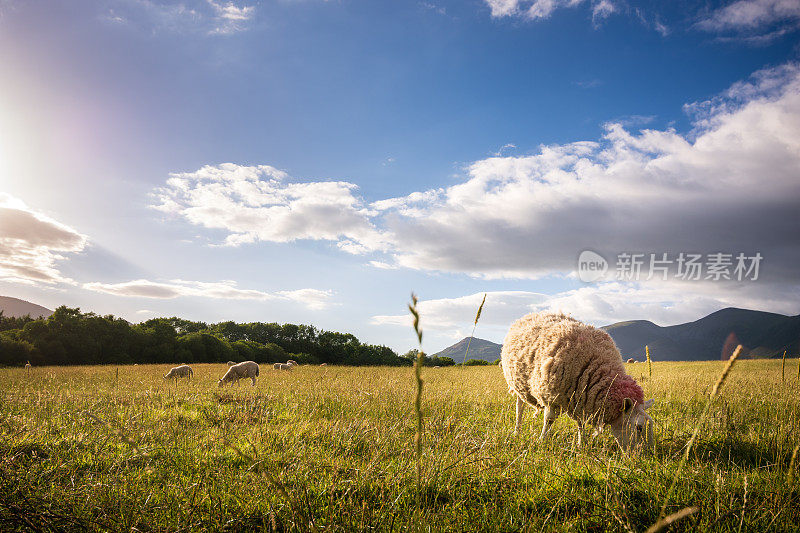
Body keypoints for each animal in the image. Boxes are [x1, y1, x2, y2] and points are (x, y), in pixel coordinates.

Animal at [504, 310, 652, 450]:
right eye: (639, 427)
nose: (644, 455)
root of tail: (530, 315)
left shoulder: (581, 397)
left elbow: (581, 423)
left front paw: (581, 444)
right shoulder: (551, 396)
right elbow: (549, 420)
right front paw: (542, 440)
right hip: (517, 384)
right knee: (519, 408)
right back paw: (517, 430)